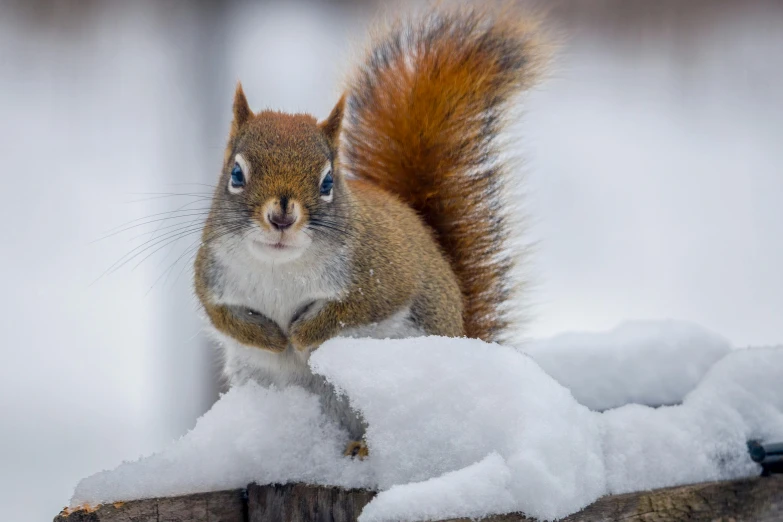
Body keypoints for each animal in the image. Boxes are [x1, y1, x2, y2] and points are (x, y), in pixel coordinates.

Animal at [194, 3, 548, 450]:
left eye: (328, 182)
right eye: (236, 175)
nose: (282, 216)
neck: (280, 266)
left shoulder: (384, 276)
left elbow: (353, 310)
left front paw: (300, 335)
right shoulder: (211, 276)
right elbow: (222, 317)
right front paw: (273, 339)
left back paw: (362, 446)